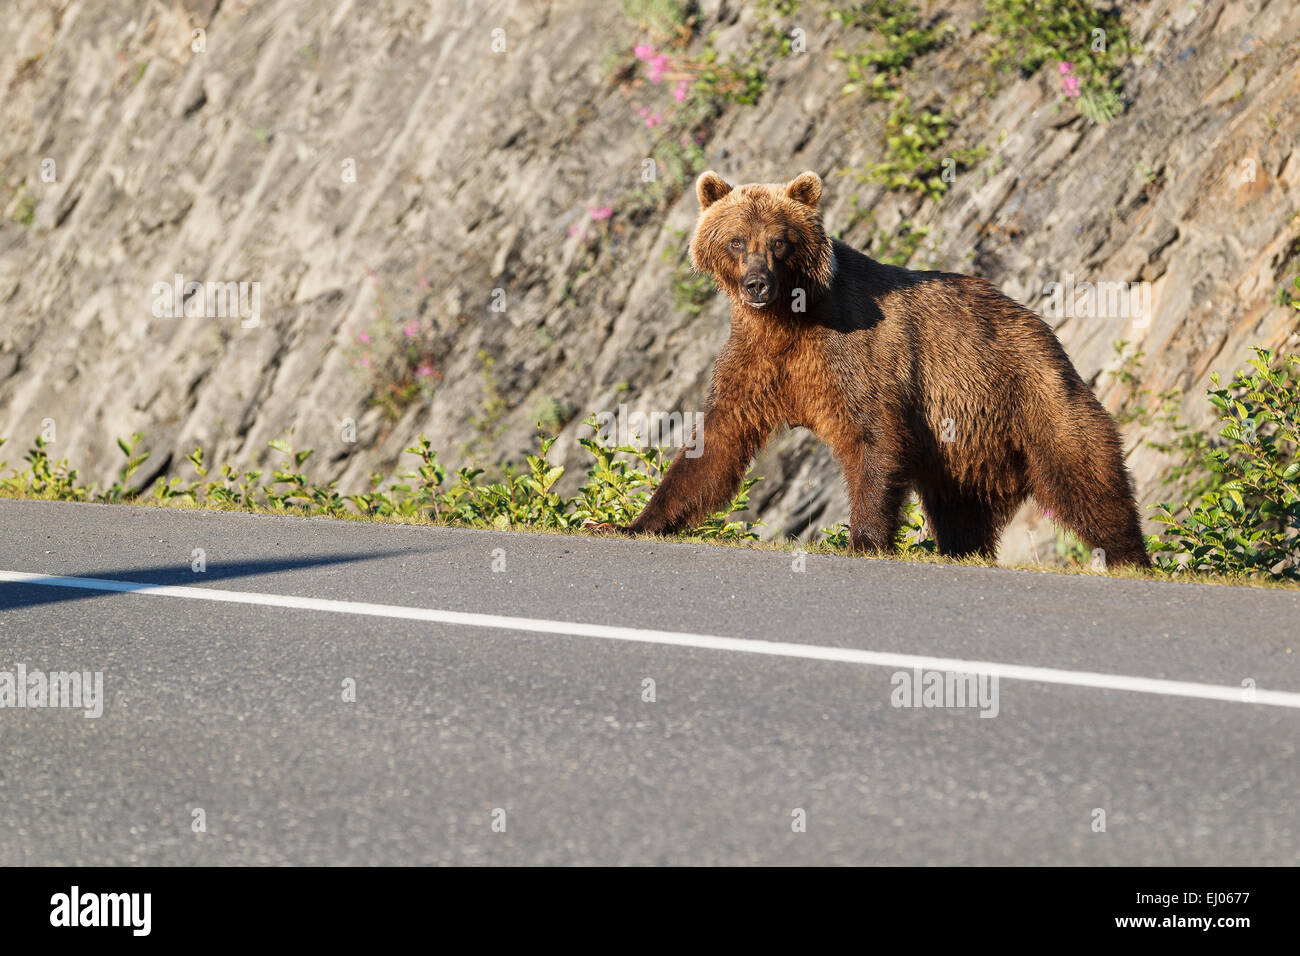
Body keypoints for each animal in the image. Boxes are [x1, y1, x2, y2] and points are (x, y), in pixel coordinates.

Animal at [608, 170, 1149, 567]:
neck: (789, 318)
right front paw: (635, 522)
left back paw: (1128, 554)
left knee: (1086, 474)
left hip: (1027, 392)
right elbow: (716, 443)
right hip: (963, 447)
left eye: (779, 241)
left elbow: (873, 436)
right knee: (961, 513)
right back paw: (964, 550)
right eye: (737, 240)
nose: (757, 284)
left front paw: (864, 538)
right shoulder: (757, 361)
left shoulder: (855, 354)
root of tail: (1040, 326)